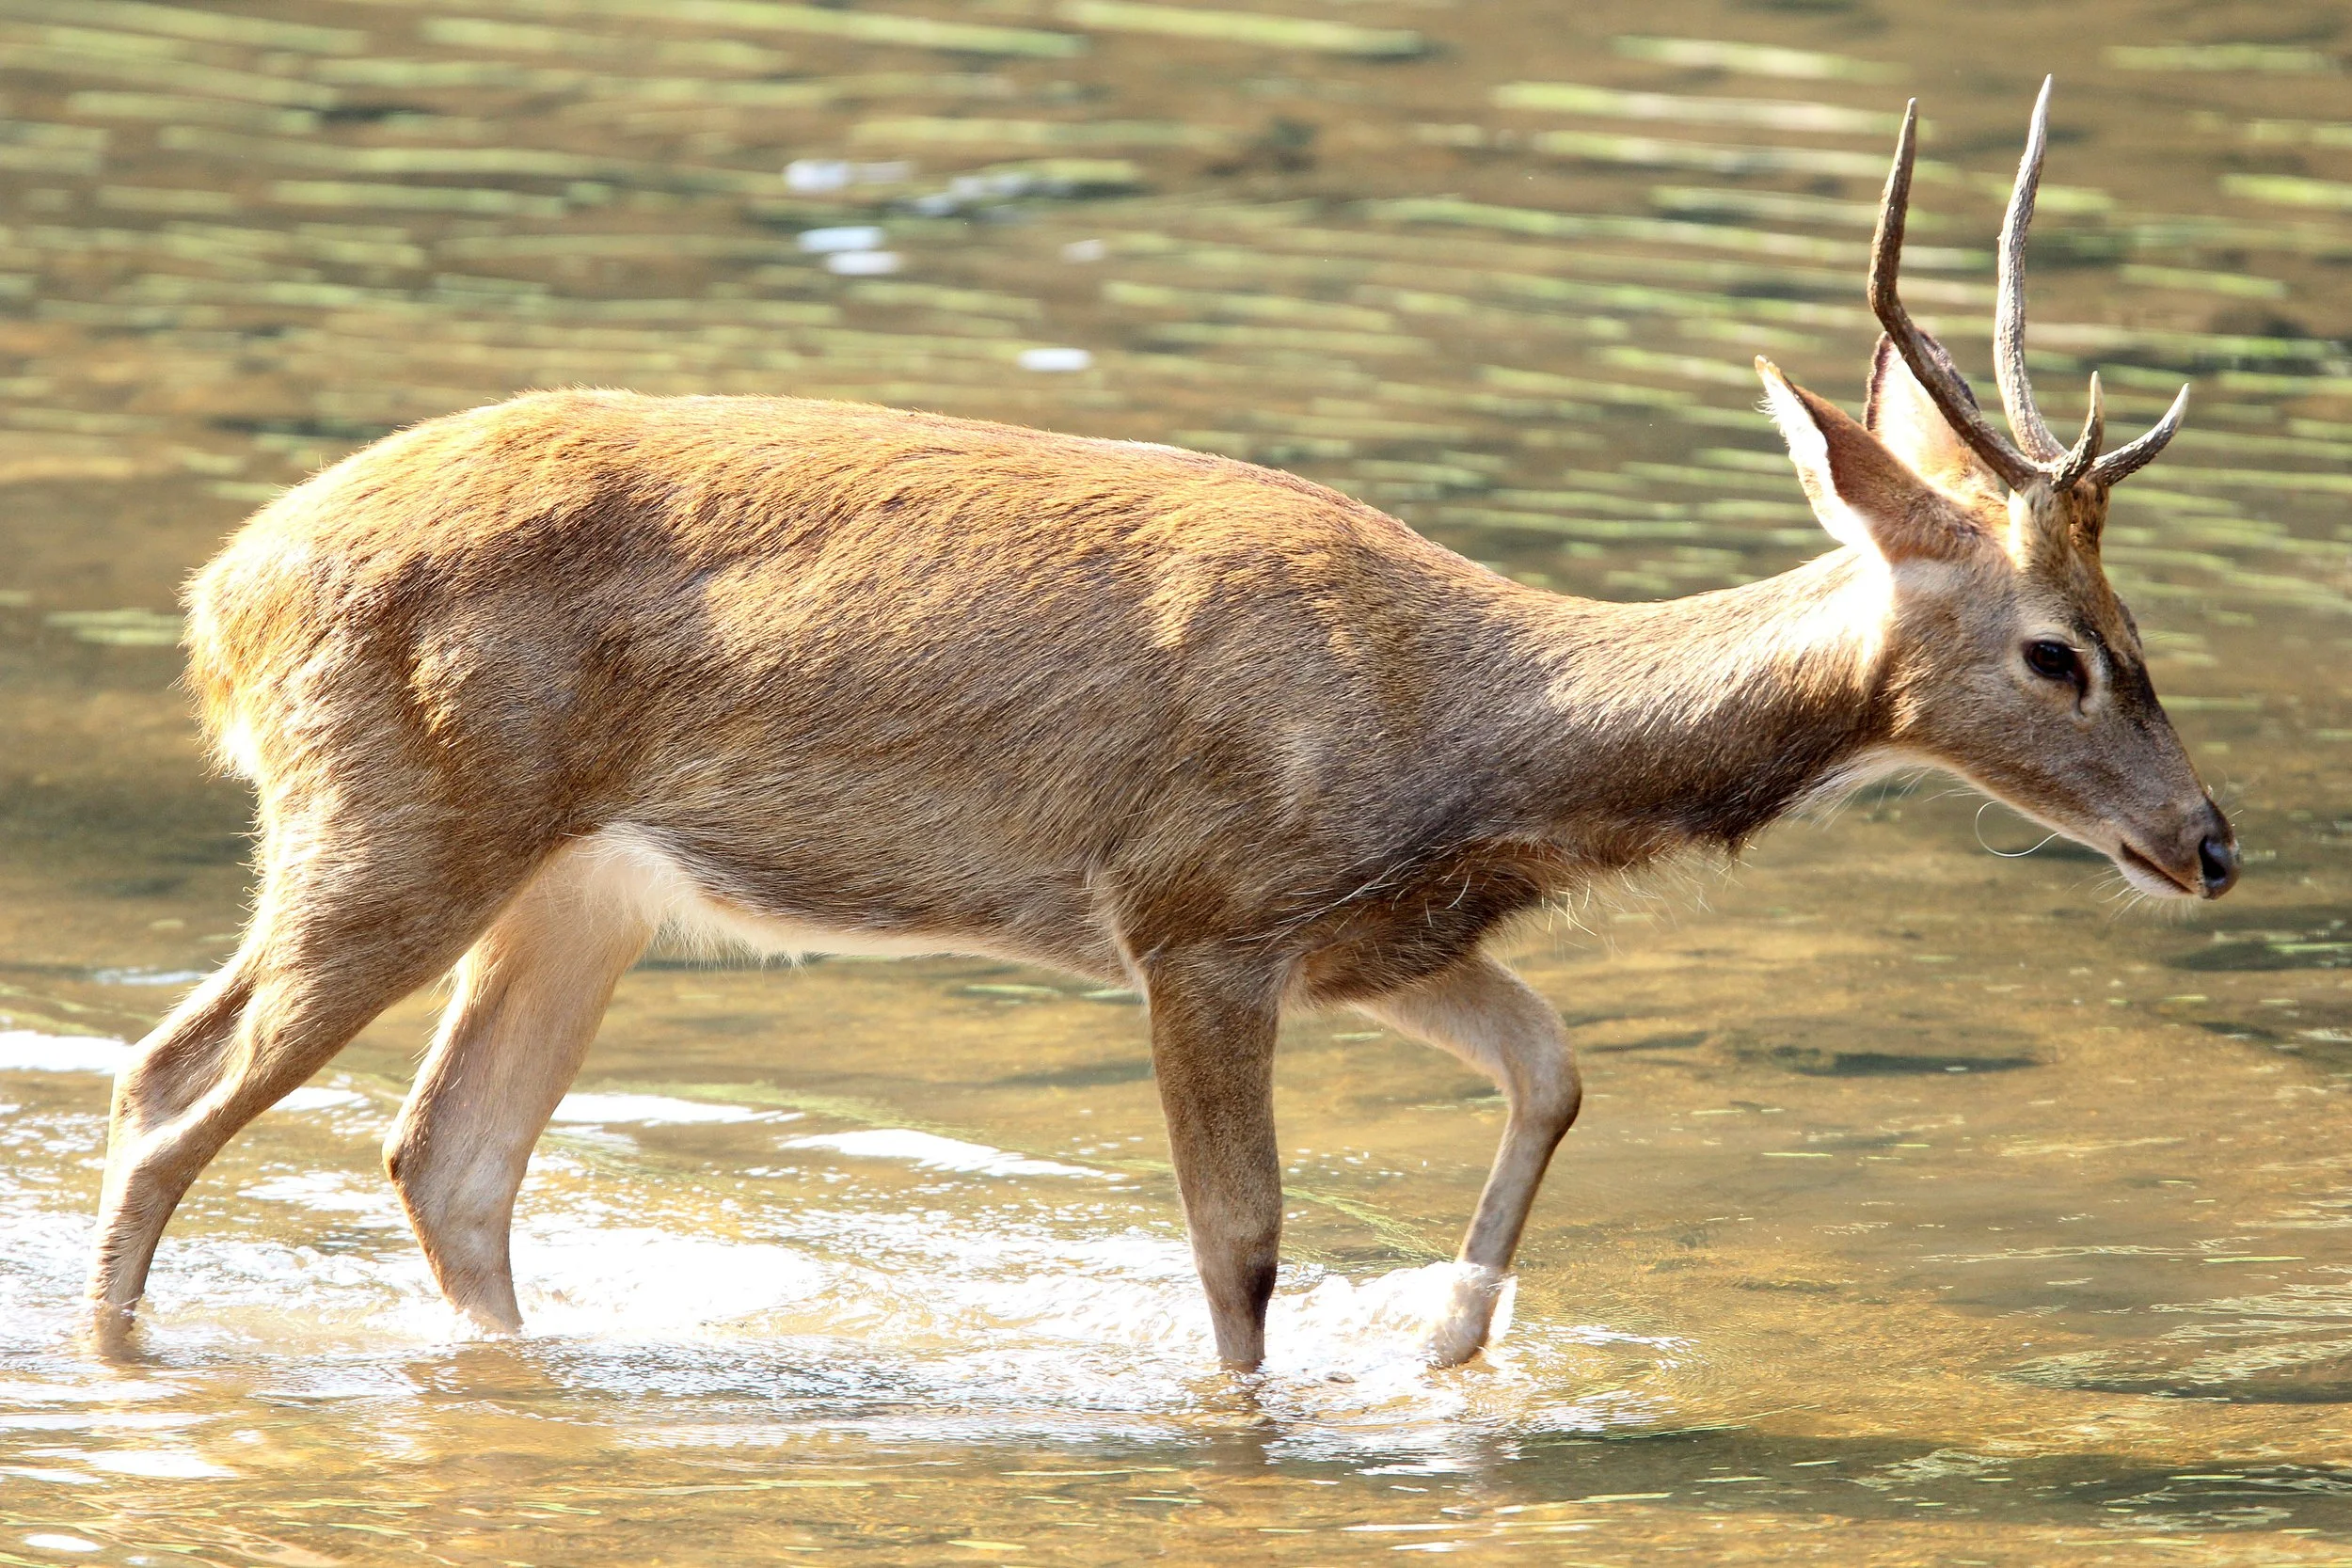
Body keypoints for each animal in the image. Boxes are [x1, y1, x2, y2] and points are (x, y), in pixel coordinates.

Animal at [86, 80, 2235, 1371]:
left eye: (2137, 623)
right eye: (2061, 650)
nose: (2211, 837)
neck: (1464, 728)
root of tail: (225, 594)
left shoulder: (1373, 934)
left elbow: (1551, 1066)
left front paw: (1452, 1340)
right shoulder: (1197, 912)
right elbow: (1239, 1239)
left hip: (580, 885)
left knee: (444, 1155)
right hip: (399, 812)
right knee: (170, 1085)